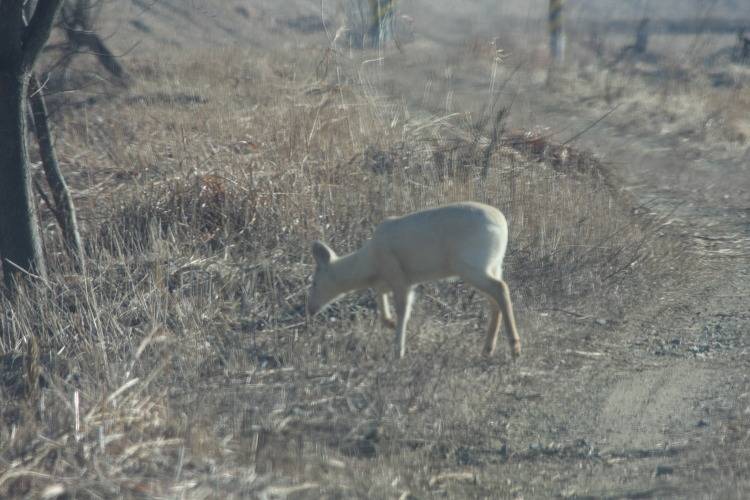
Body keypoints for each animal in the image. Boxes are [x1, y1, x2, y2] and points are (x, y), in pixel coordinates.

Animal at [306, 202, 524, 360]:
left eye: (315, 282)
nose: (309, 309)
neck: (370, 264)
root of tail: (503, 226)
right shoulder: (388, 283)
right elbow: (383, 311)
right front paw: (392, 325)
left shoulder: (399, 276)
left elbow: (403, 311)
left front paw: (398, 350)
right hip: (493, 266)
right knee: (494, 299)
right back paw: (488, 349)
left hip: (471, 265)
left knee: (501, 289)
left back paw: (515, 347)